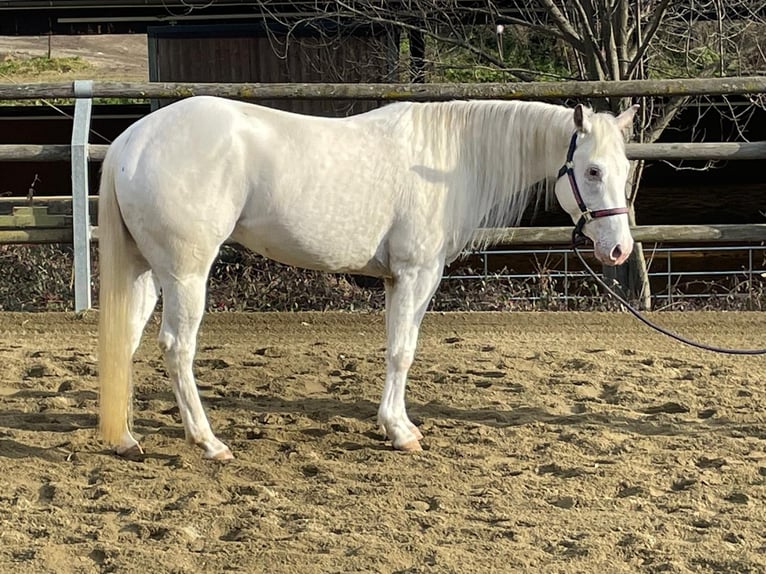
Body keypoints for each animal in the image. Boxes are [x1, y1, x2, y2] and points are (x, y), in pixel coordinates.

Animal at [99, 97, 640, 462]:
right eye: (593, 170)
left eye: (624, 168)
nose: (618, 249)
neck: (448, 162)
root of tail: (131, 141)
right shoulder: (417, 273)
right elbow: (402, 352)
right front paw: (400, 432)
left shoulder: (400, 281)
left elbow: (400, 348)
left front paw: (397, 424)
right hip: (186, 274)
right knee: (177, 347)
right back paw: (208, 441)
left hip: (147, 271)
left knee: (124, 341)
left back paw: (125, 438)